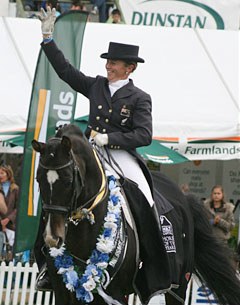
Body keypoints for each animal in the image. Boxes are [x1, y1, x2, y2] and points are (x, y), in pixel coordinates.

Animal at [31, 123, 240, 304]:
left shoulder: (115, 292)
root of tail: (184, 197)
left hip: (178, 287)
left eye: (68, 180)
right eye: (38, 179)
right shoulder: (64, 291)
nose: (52, 238)